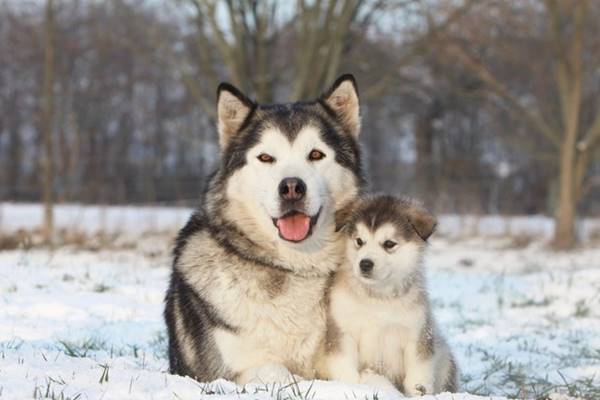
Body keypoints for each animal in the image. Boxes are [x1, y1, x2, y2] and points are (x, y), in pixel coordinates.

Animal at [162, 74, 364, 384]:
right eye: (266, 158)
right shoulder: (230, 372)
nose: (291, 187)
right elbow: (281, 373)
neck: (294, 266)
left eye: (316, 154)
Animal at [322, 195, 458, 396]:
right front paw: (350, 387)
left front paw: (418, 392)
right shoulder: (342, 331)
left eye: (389, 244)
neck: (378, 298)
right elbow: (346, 369)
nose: (365, 264)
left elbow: (418, 375)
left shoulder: (417, 335)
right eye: (359, 241)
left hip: (445, 358)